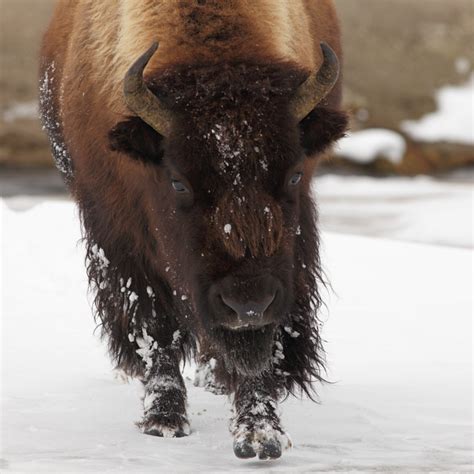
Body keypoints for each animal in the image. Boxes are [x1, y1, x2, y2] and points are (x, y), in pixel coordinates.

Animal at [39, 0, 346, 460]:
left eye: (293, 174)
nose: (248, 303)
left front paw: (260, 433)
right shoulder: (121, 238)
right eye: (178, 181)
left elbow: (262, 348)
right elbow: (155, 327)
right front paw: (163, 420)